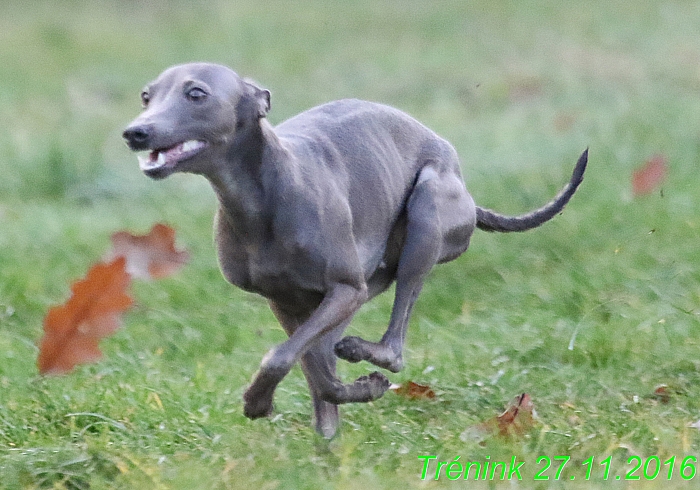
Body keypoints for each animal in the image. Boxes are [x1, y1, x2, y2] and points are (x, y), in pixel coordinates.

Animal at [123, 61, 588, 436]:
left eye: (196, 93)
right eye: (146, 96)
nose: (135, 132)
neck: (264, 195)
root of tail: (469, 195)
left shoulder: (344, 287)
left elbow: (282, 357)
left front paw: (259, 402)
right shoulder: (285, 299)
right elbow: (306, 360)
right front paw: (342, 403)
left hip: (426, 213)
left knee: (394, 346)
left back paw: (369, 355)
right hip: (371, 275)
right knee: (334, 343)